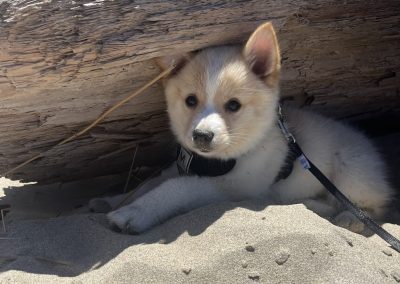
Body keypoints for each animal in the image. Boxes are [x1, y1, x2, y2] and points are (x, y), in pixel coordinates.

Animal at [104, 22, 394, 234]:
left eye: (233, 105)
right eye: (190, 101)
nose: (201, 136)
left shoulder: (231, 187)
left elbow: (176, 188)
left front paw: (134, 212)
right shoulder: (181, 168)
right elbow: (151, 182)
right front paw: (113, 199)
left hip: (352, 173)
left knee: (373, 206)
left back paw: (347, 218)